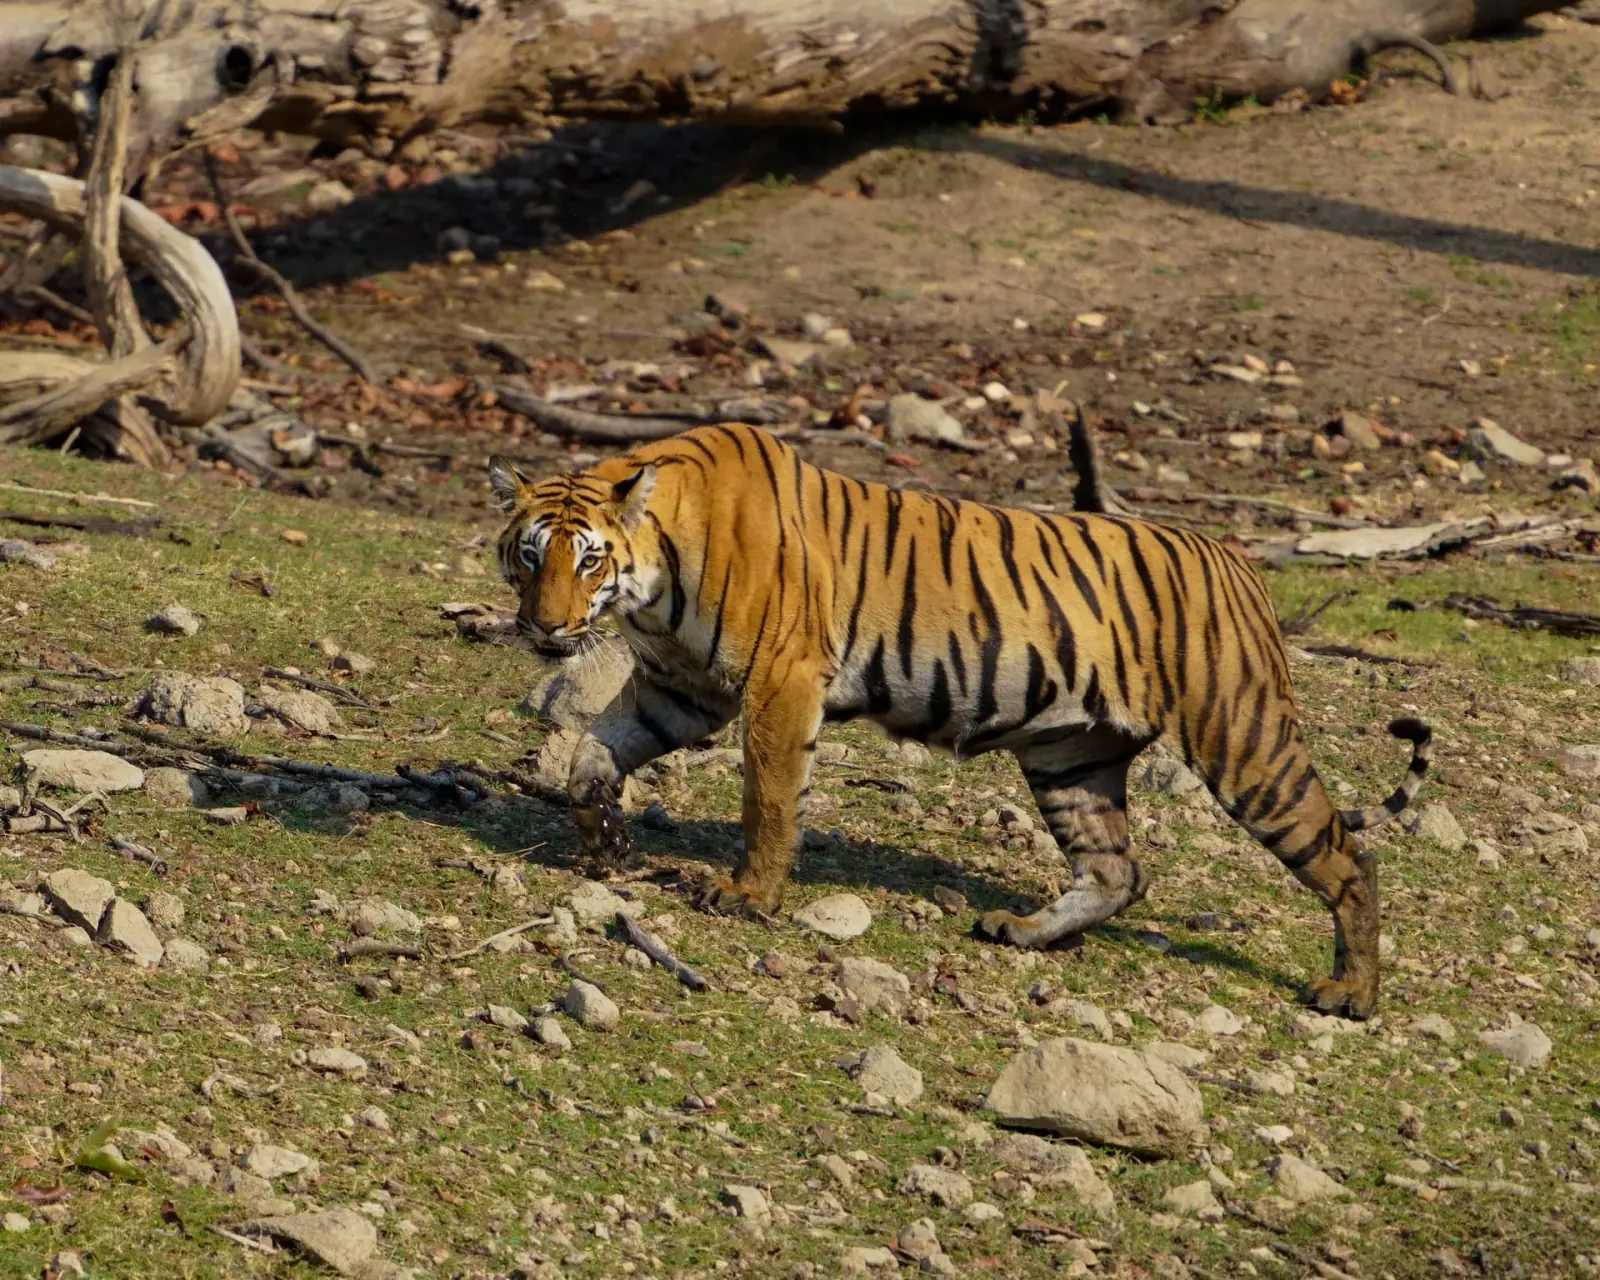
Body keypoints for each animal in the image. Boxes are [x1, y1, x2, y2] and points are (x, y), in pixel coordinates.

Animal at [489, 422, 1431, 1019]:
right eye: (529, 558)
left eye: (588, 560)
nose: (544, 626)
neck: (648, 583)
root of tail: (1237, 557)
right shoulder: (679, 688)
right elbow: (592, 752)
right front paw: (602, 843)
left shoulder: (777, 683)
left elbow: (768, 800)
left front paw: (746, 896)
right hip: (1070, 756)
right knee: (1120, 871)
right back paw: (1024, 932)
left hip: (1244, 744)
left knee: (1351, 859)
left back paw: (1352, 995)